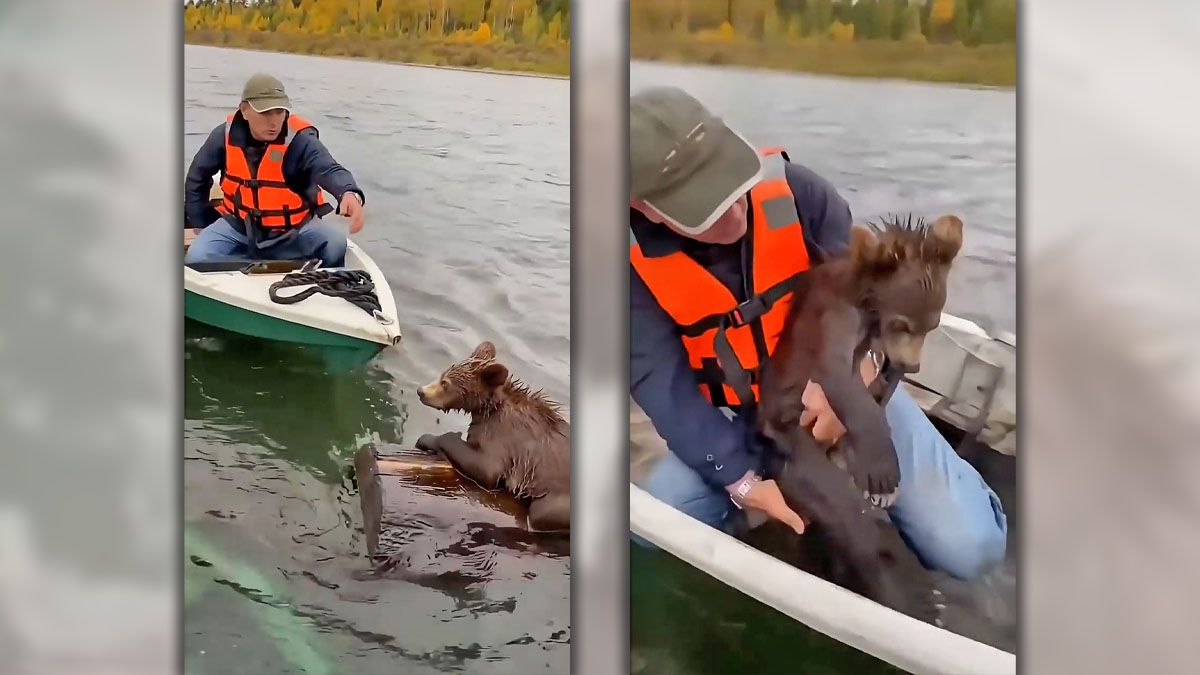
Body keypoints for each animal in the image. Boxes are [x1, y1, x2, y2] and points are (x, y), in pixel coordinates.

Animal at [415, 340, 571, 533]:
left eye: (445, 383)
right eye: (442, 374)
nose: (421, 391)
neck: (490, 407)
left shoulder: (503, 436)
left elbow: (487, 470)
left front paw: (428, 439)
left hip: (556, 498)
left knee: (540, 513)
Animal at [746, 213, 965, 623]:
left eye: (931, 325)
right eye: (902, 324)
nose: (915, 364)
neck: (867, 304)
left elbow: (881, 377)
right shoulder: (833, 319)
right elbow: (839, 378)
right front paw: (880, 470)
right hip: (795, 454)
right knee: (853, 524)